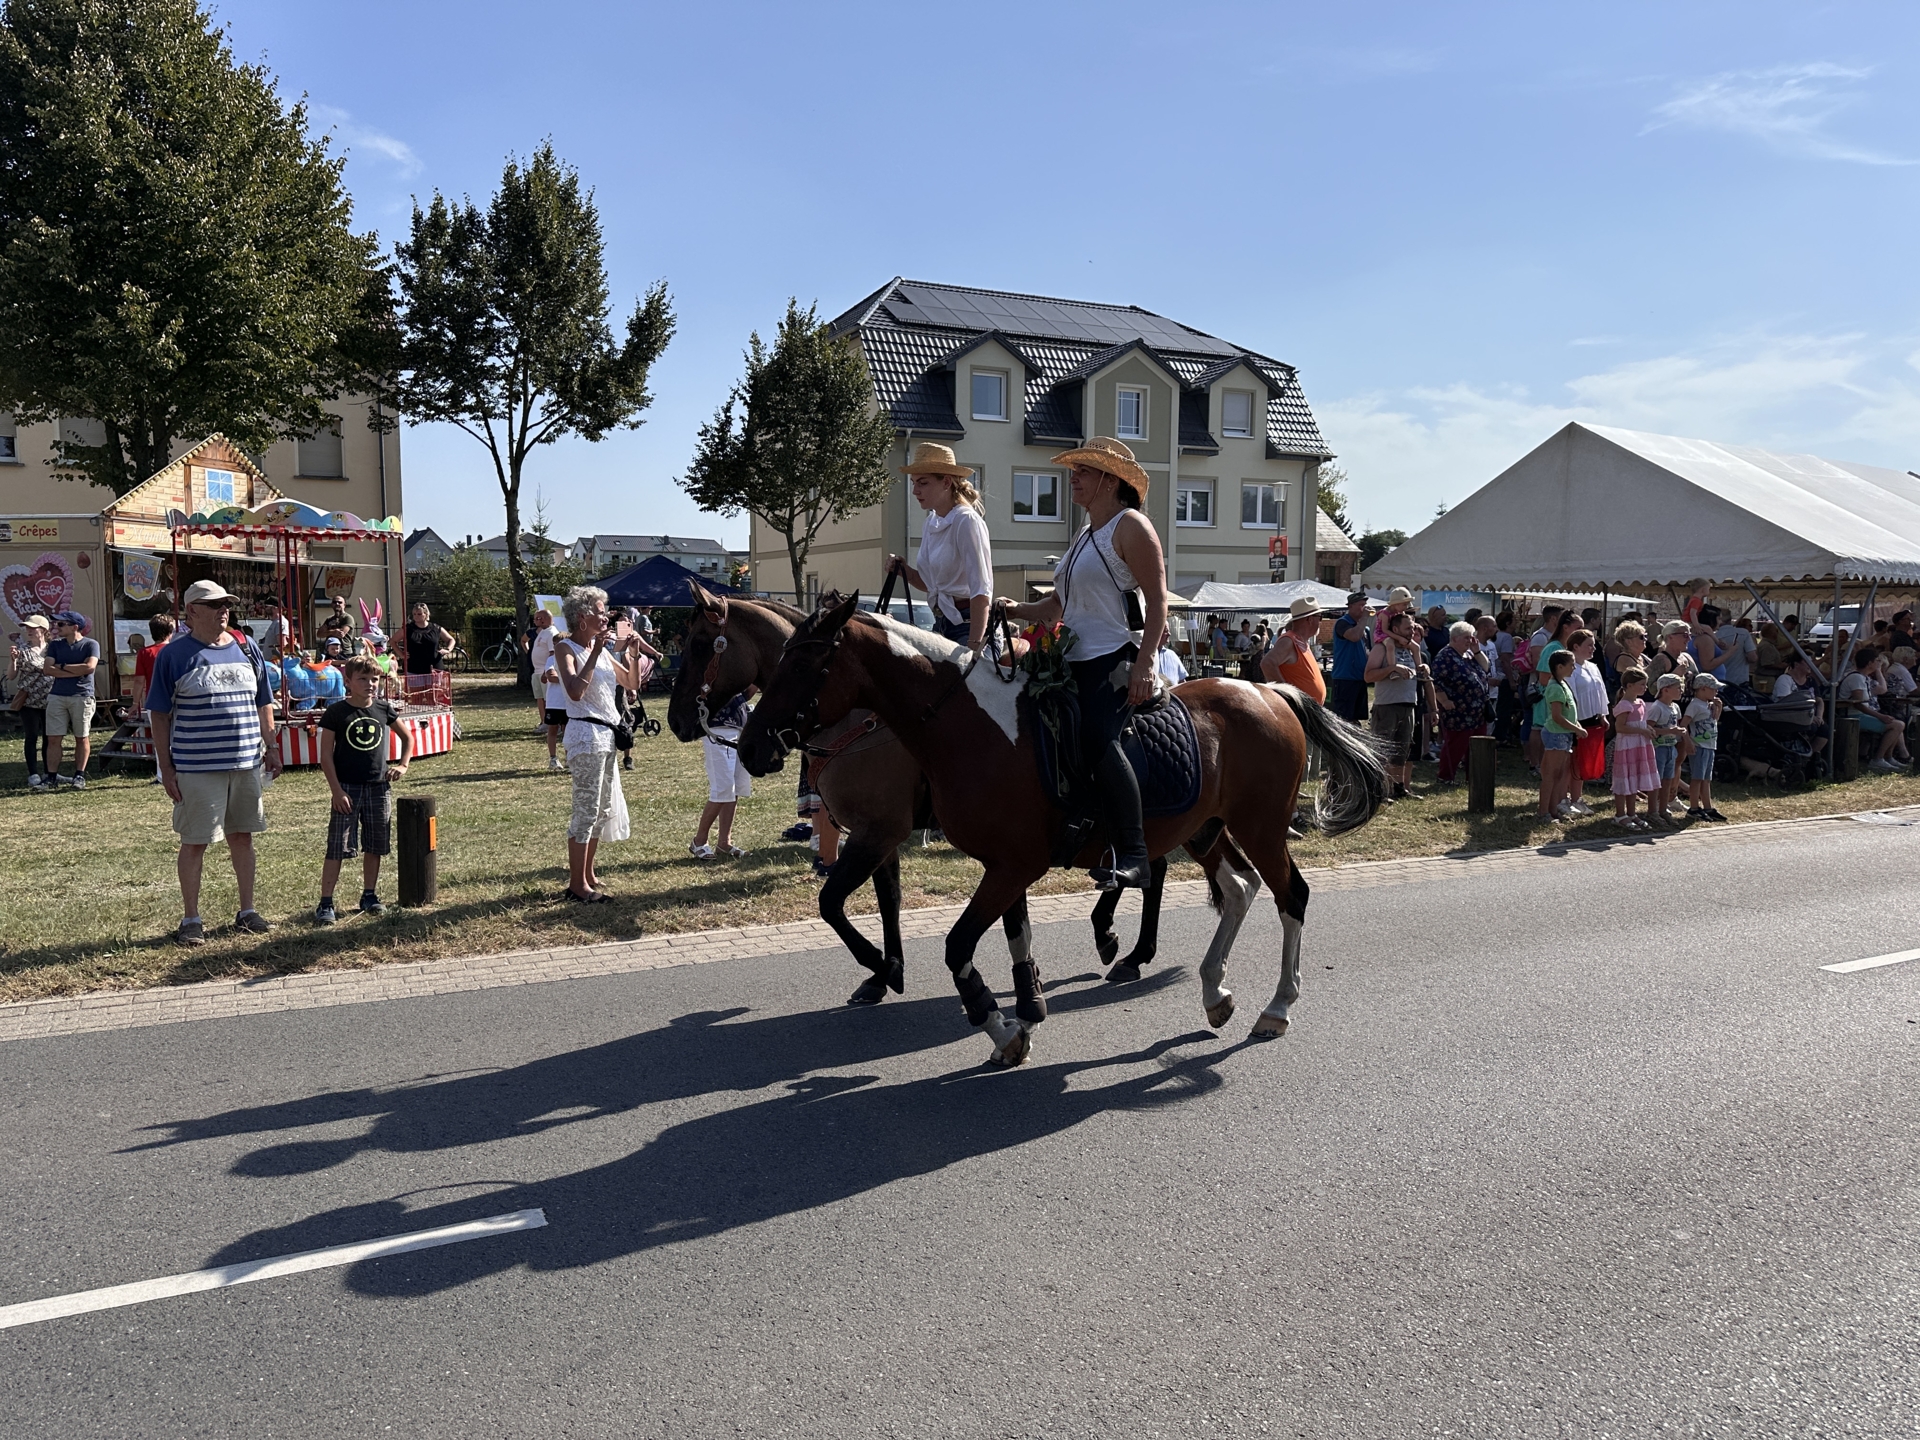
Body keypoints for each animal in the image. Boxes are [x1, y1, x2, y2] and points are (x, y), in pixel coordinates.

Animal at [660, 583, 1167, 1006]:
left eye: (701, 644)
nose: (678, 720)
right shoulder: (877, 836)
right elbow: (889, 901)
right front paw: (887, 971)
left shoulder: (880, 831)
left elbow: (832, 902)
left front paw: (879, 965)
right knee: (1153, 867)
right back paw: (1126, 946)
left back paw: (1118, 939)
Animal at [729, 587, 1382, 1075]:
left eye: (804, 663)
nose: (749, 745)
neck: (972, 727)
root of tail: (1268, 690)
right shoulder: (998, 863)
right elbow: (1008, 935)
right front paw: (1019, 1011)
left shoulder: (1004, 862)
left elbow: (957, 945)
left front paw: (1000, 1029)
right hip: (1207, 828)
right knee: (1240, 889)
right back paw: (1213, 992)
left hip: (1260, 826)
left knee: (1289, 895)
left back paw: (1277, 1005)